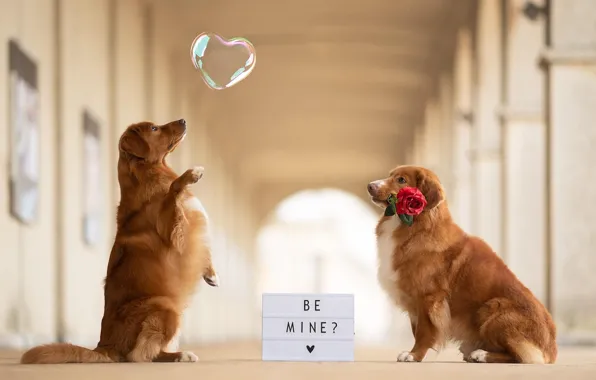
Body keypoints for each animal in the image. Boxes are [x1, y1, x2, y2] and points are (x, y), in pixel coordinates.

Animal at [20, 119, 219, 366]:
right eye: (154, 129)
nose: (183, 120)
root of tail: (105, 346)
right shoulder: (173, 231)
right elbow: (173, 191)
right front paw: (190, 175)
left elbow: (205, 250)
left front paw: (211, 273)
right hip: (165, 305)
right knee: (140, 355)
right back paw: (180, 355)